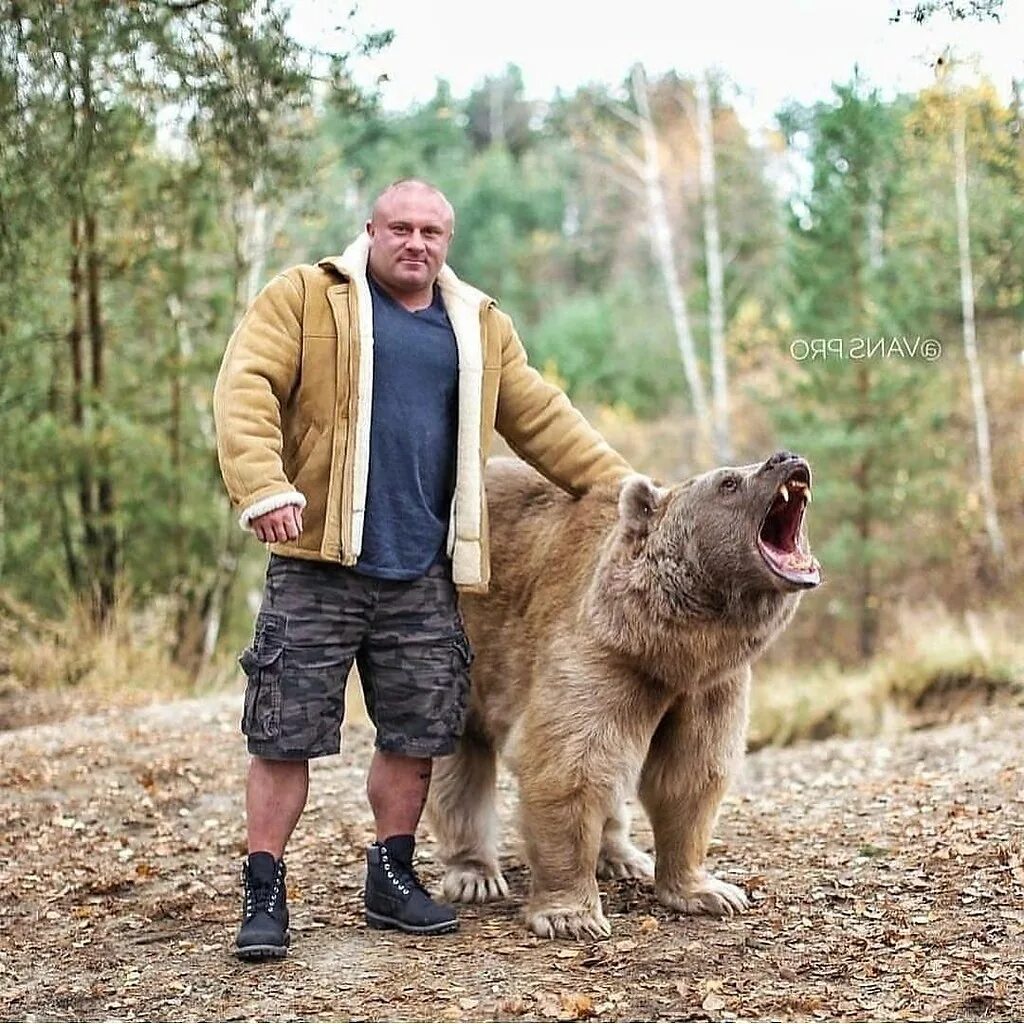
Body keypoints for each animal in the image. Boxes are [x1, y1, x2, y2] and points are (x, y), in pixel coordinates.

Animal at [428, 452, 819, 937]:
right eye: (728, 482)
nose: (787, 458)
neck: (673, 650)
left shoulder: (710, 686)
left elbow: (692, 774)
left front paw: (710, 891)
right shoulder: (603, 657)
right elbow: (569, 767)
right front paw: (572, 916)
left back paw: (622, 856)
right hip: (466, 649)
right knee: (459, 763)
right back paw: (474, 874)